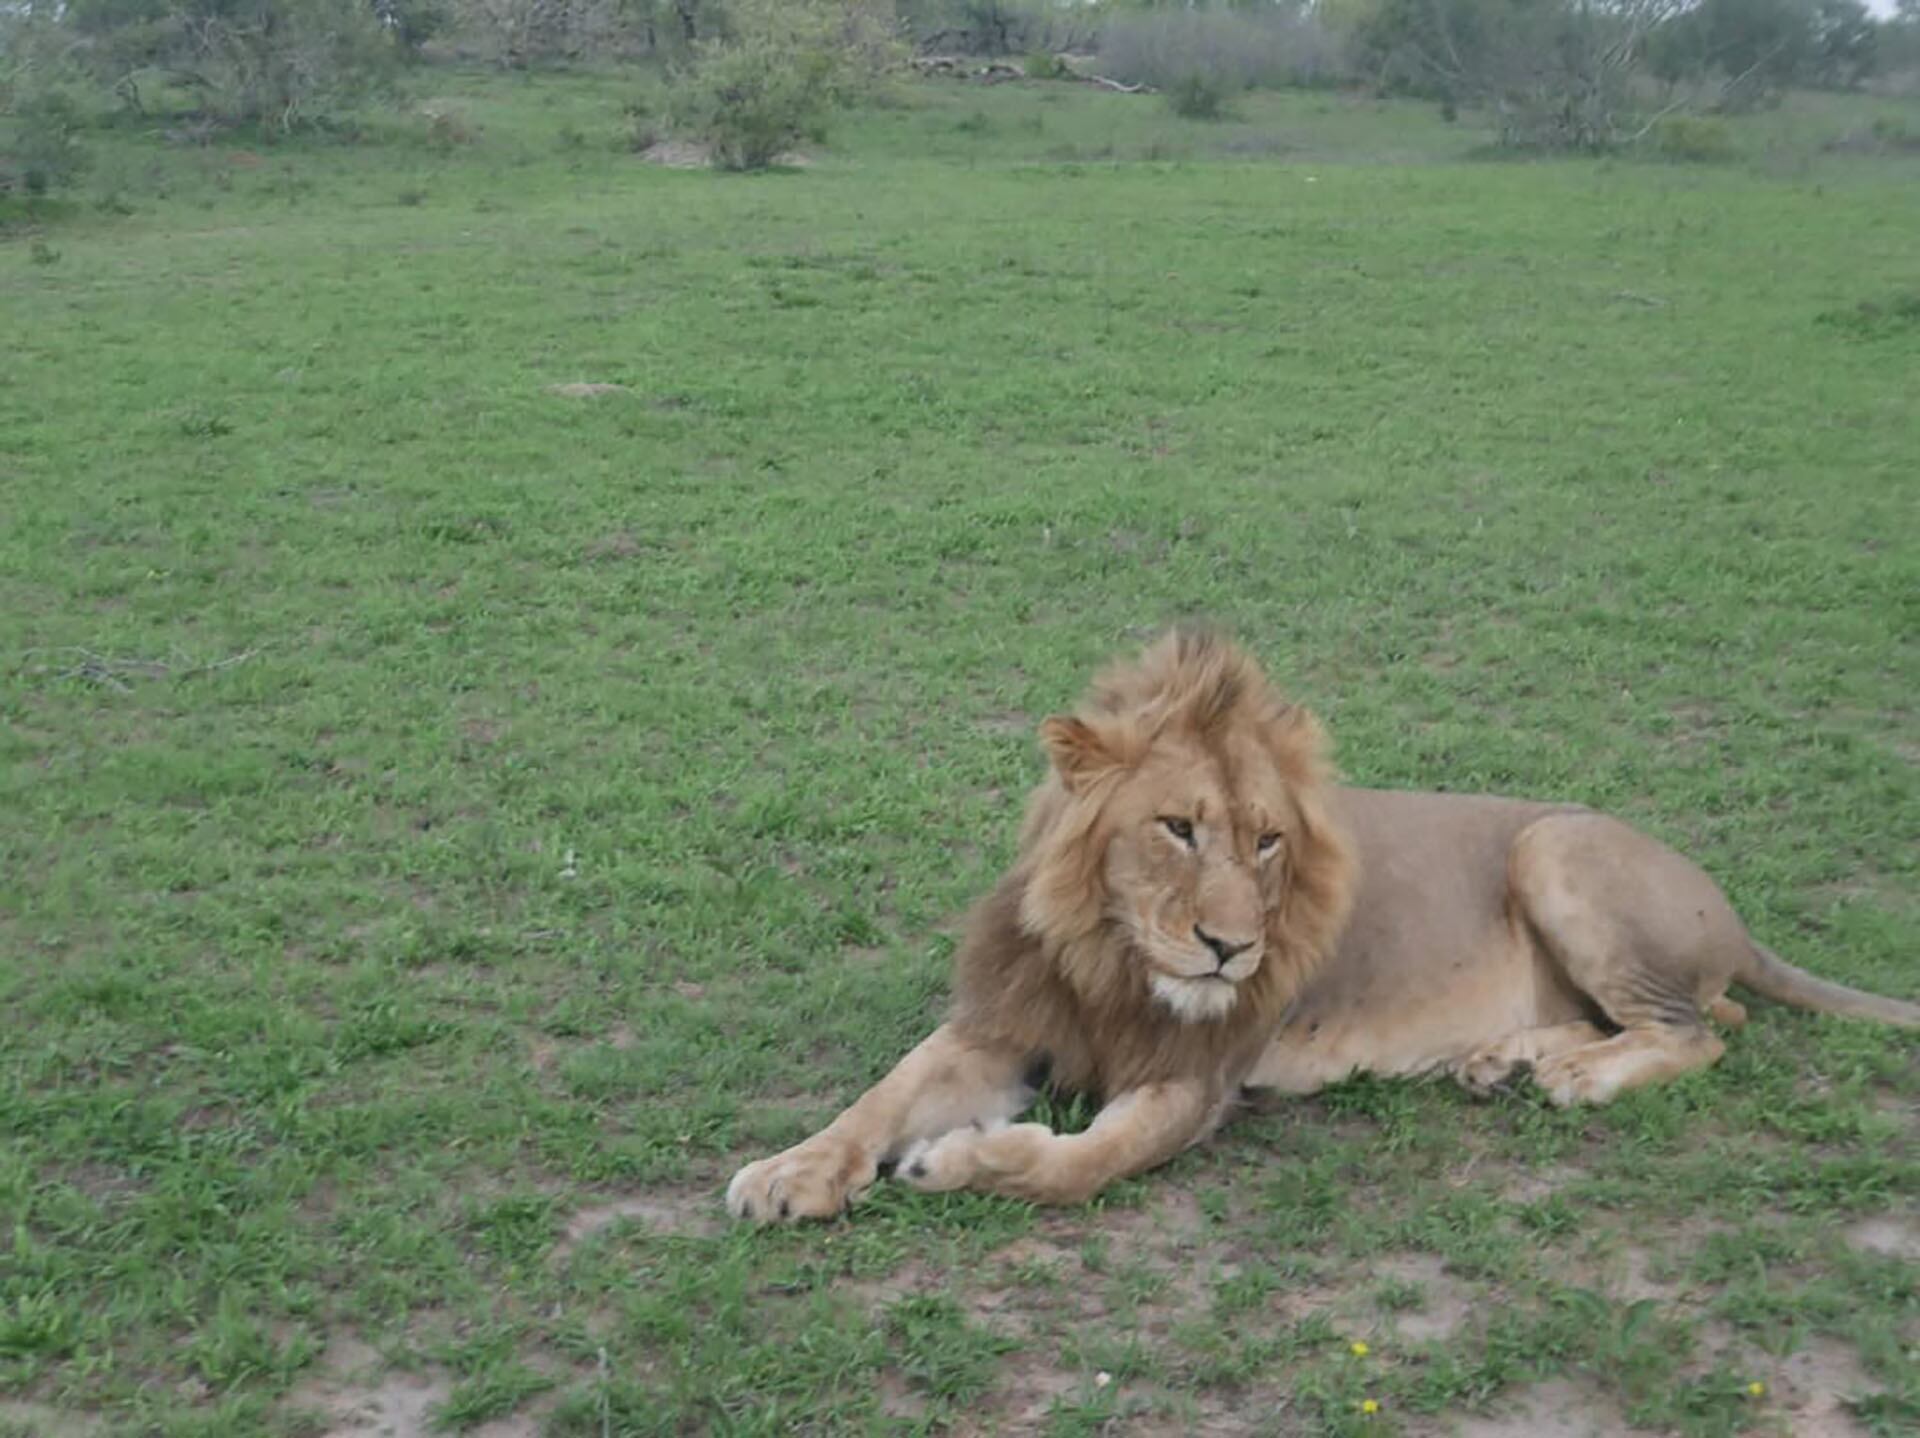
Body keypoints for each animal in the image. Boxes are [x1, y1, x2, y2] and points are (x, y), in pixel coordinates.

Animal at [727, 628, 1918, 1221]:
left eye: (1268, 843)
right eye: (1176, 828)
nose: (1231, 949)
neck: (1117, 957)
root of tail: (1735, 916)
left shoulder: (1198, 1078)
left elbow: (1079, 1164)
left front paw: (957, 1160)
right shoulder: (1006, 1020)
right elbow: (882, 1093)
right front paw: (790, 1171)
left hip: (1554, 848)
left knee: (1701, 1029)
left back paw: (1576, 1076)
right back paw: (1507, 1060)